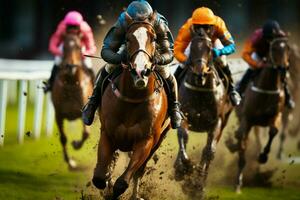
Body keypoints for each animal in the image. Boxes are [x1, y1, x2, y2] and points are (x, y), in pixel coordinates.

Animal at [51, 32, 94, 169]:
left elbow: (86, 133)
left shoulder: (83, 112)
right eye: (64, 47)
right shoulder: (58, 114)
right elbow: (63, 138)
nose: (70, 66)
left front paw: (76, 144)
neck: (71, 82)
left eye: (78, 47)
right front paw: (70, 162)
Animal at [91, 12, 170, 200]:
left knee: (139, 170)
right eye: (127, 39)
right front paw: (107, 186)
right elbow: (100, 177)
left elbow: (123, 182)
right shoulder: (108, 134)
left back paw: (135, 194)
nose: (141, 71)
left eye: (154, 38)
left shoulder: (146, 140)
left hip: (159, 139)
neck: (133, 99)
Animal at [173, 27, 232, 191]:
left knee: (210, 150)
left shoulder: (216, 122)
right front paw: (183, 168)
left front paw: (198, 182)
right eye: (192, 48)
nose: (200, 73)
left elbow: (208, 151)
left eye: (209, 48)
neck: (201, 89)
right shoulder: (184, 116)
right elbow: (183, 136)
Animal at [227, 36, 290, 193]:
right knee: (242, 137)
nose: (283, 68)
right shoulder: (247, 119)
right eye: (274, 48)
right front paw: (238, 183)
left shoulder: (276, 115)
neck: (267, 88)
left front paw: (263, 156)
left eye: (287, 48)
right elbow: (241, 140)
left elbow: (273, 131)